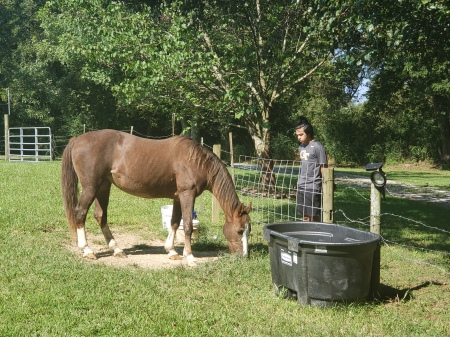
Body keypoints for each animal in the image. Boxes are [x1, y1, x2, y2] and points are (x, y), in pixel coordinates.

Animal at [60, 129, 251, 266]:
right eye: (240, 230)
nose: (244, 256)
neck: (197, 161)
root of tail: (77, 139)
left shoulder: (177, 197)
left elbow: (175, 222)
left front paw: (172, 251)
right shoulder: (187, 194)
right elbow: (187, 225)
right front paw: (189, 257)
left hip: (104, 187)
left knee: (100, 216)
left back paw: (117, 249)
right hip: (91, 188)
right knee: (80, 213)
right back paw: (87, 250)